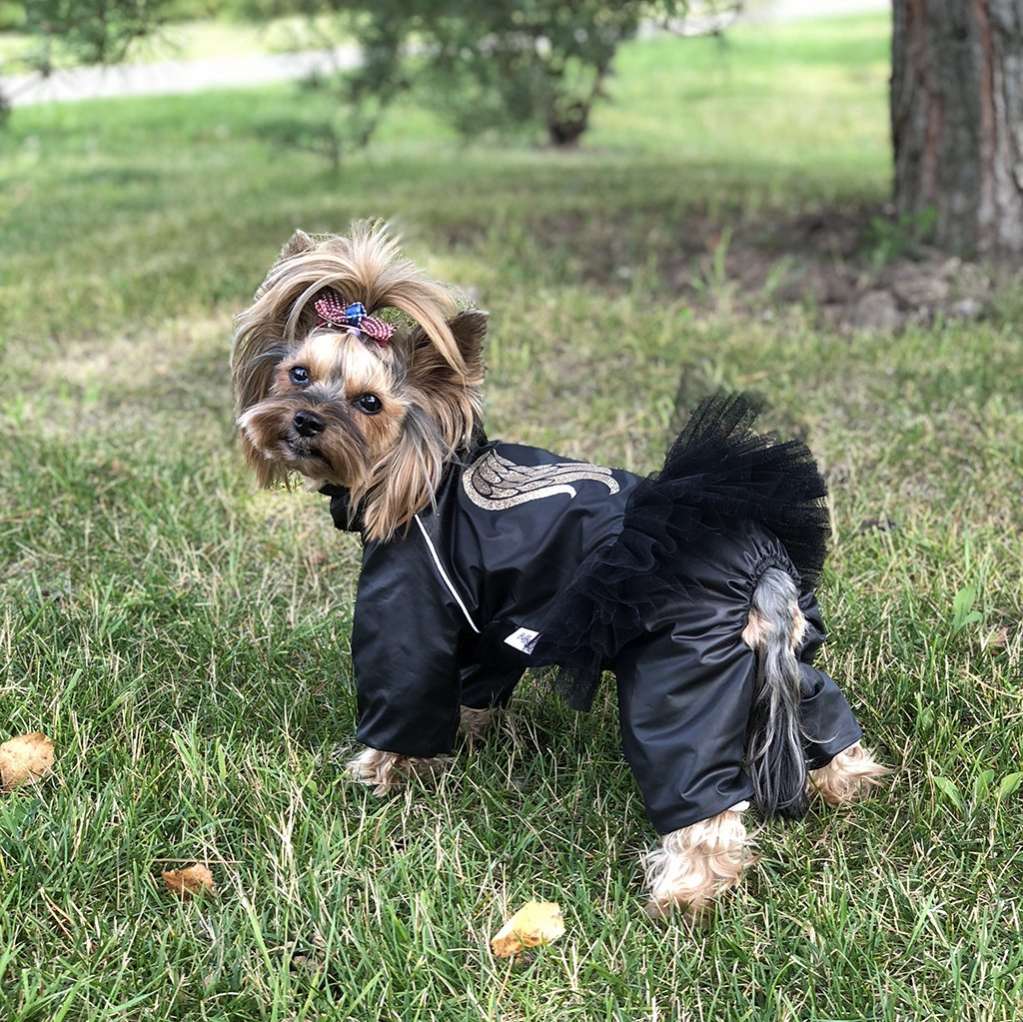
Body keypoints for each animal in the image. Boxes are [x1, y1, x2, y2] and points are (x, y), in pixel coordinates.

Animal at [325, 394, 863, 834]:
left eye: (366, 401)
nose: (308, 424)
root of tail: (762, 576)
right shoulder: (493, 622)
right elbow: (478, 678)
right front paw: (468, 733)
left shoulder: (411, 598)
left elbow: (404, 687)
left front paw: (375, 773)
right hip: (780, 657)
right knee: (820, 706)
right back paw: (848, 782)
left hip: (681, 675)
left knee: (695, 790)